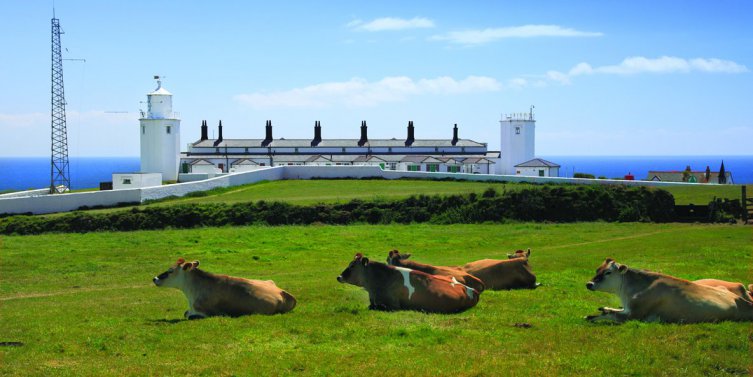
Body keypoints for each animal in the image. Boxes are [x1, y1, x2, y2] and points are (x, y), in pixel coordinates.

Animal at [151, 256, 296, 318]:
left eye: (170, 271)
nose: (155, 278)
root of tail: (282, 292)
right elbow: (186, 313)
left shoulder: (208, 312)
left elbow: (189, 315)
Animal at [584, 258, 752, 324]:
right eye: (597, 269)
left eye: (608, 272)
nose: (589, 284)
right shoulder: (627, 308)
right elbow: (612, 310)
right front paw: (601, 309)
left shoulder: (634, 315)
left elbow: (612, 315)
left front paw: (593, 316)